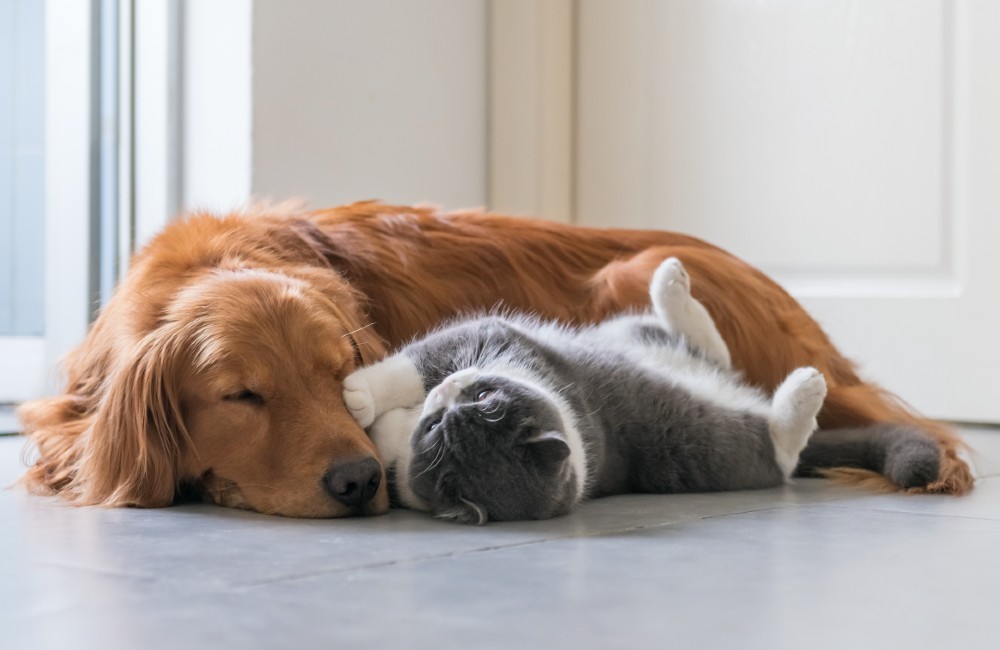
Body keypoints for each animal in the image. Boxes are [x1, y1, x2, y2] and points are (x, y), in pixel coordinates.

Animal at [344, 256, 828, 520]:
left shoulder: (489, 335)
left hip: (712, 440)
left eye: (484, 398)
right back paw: (673, 284)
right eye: (434, 429)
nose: (446, 391)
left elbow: (409, 366)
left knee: (780, 445)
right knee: (709, 351)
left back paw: (806, 383)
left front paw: (357, 394)